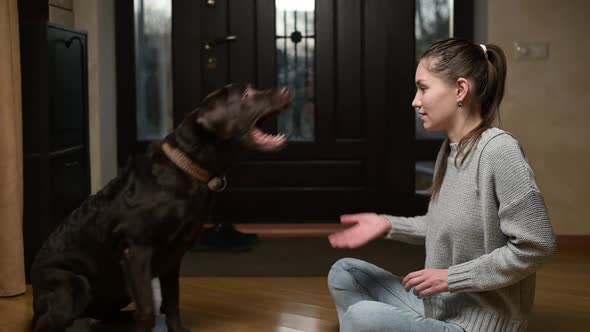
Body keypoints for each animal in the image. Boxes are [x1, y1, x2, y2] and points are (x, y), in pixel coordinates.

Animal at [31, 84, 292, 330]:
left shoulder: (173, 257)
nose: (287, 89)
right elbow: (147, 307)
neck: (188, 165)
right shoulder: (137, 250)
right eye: (247, 94)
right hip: (74, 284)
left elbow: (172, 301)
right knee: (48, 323)